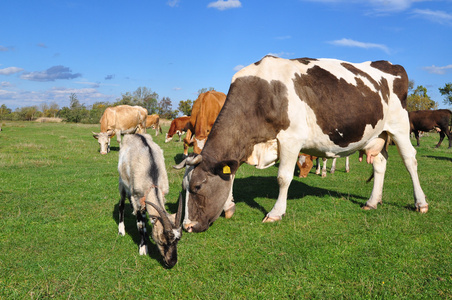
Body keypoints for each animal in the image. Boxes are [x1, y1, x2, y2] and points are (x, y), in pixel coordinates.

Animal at [119, 134, 185, 268]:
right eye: (162, 240)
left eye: (178, 240)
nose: (172, 262)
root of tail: (134, 134)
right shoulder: (137, 198)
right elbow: (141, 225)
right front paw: (143, 248)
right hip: (122, 182)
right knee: (121, 204)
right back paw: (121, 230)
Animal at [179, 56, 428, 234]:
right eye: (184, 187)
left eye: (197, 187)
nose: (187, 227)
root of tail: (389, 64)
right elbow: (230, 176)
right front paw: (229, 206)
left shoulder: (291, 139)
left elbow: (283, 178)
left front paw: (275, 213)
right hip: (377, 135)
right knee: (379, 165)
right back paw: (372, 202)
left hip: (400, 127)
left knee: (410, 160)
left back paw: (421, 203)